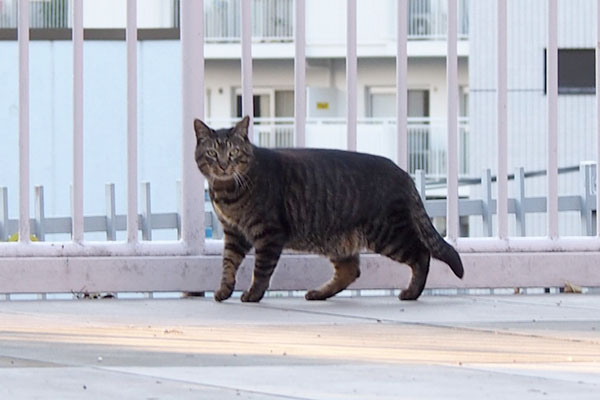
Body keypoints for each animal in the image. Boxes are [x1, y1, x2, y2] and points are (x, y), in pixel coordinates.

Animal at [193, 115, 464, 304]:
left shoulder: (268, 233)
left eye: (233, 152)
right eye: (212, 153)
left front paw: (253, 294)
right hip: (340, 241)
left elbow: (261, 270)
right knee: (350, 271)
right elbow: (228, 264)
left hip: (388, 234)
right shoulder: (233, 233)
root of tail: (403, 173)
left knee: (421, 254)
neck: (227, 191)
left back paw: (411, 292)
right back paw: (319, 293)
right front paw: (224, 290)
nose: (223, 165)